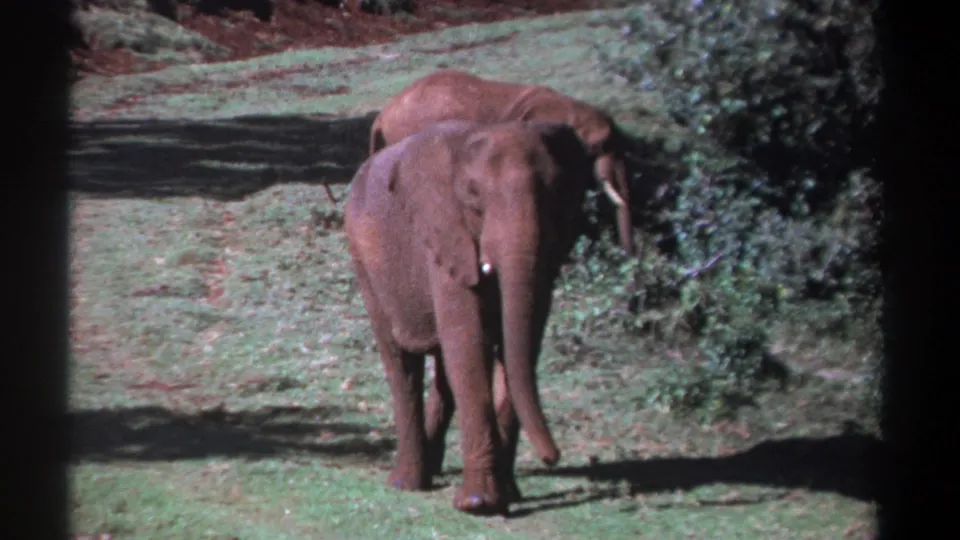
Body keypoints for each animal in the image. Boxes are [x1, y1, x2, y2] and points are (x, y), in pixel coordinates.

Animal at [345, 119, 596, 516]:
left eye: (555, 192)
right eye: (474, 197)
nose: (552, 457)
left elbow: (521, 344)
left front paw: (507, 495)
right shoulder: (445, 236)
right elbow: (469, 342)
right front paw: (479, 504)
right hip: (365, 263)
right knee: (402, 363)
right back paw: (406, 483)